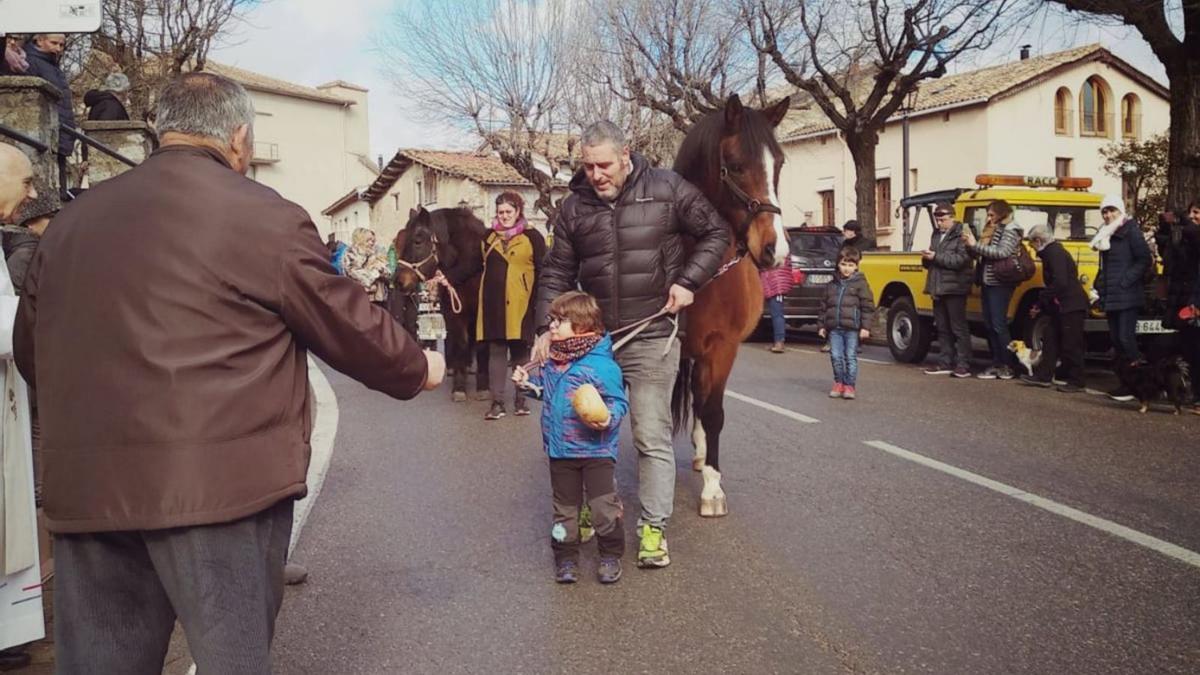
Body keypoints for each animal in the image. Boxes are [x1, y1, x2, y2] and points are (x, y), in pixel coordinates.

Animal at [391, 205, 489, 398]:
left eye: (418, 241)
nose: (398, 281)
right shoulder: (454, 314)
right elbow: (460, 343)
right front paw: (459, 387)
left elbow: (480, 345)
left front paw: (483, 386)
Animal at [672, 93, 792, 514]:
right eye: (737, 166)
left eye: (780, 164)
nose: (775, 249)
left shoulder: (722, 349)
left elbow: (714, 412)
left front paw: (712, 487)